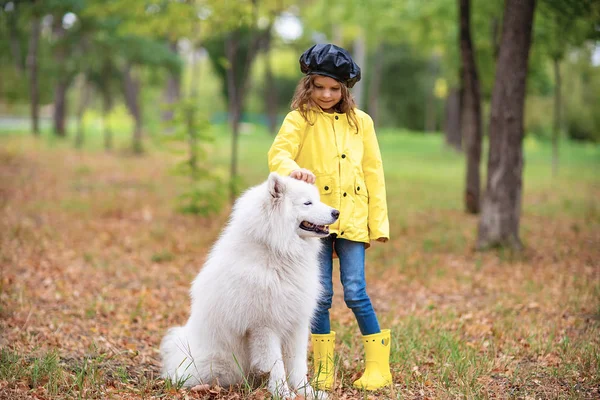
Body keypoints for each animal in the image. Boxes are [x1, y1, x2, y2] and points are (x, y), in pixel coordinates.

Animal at [159, 173, 338, 398]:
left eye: (317, 199)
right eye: (308, 203)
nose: (336, 212)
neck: (277, 252)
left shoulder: (296, 323)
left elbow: (298, 365)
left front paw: (306, 392)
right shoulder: (264, 326)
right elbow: (277, 365)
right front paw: (282, 393)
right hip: (220, 364)